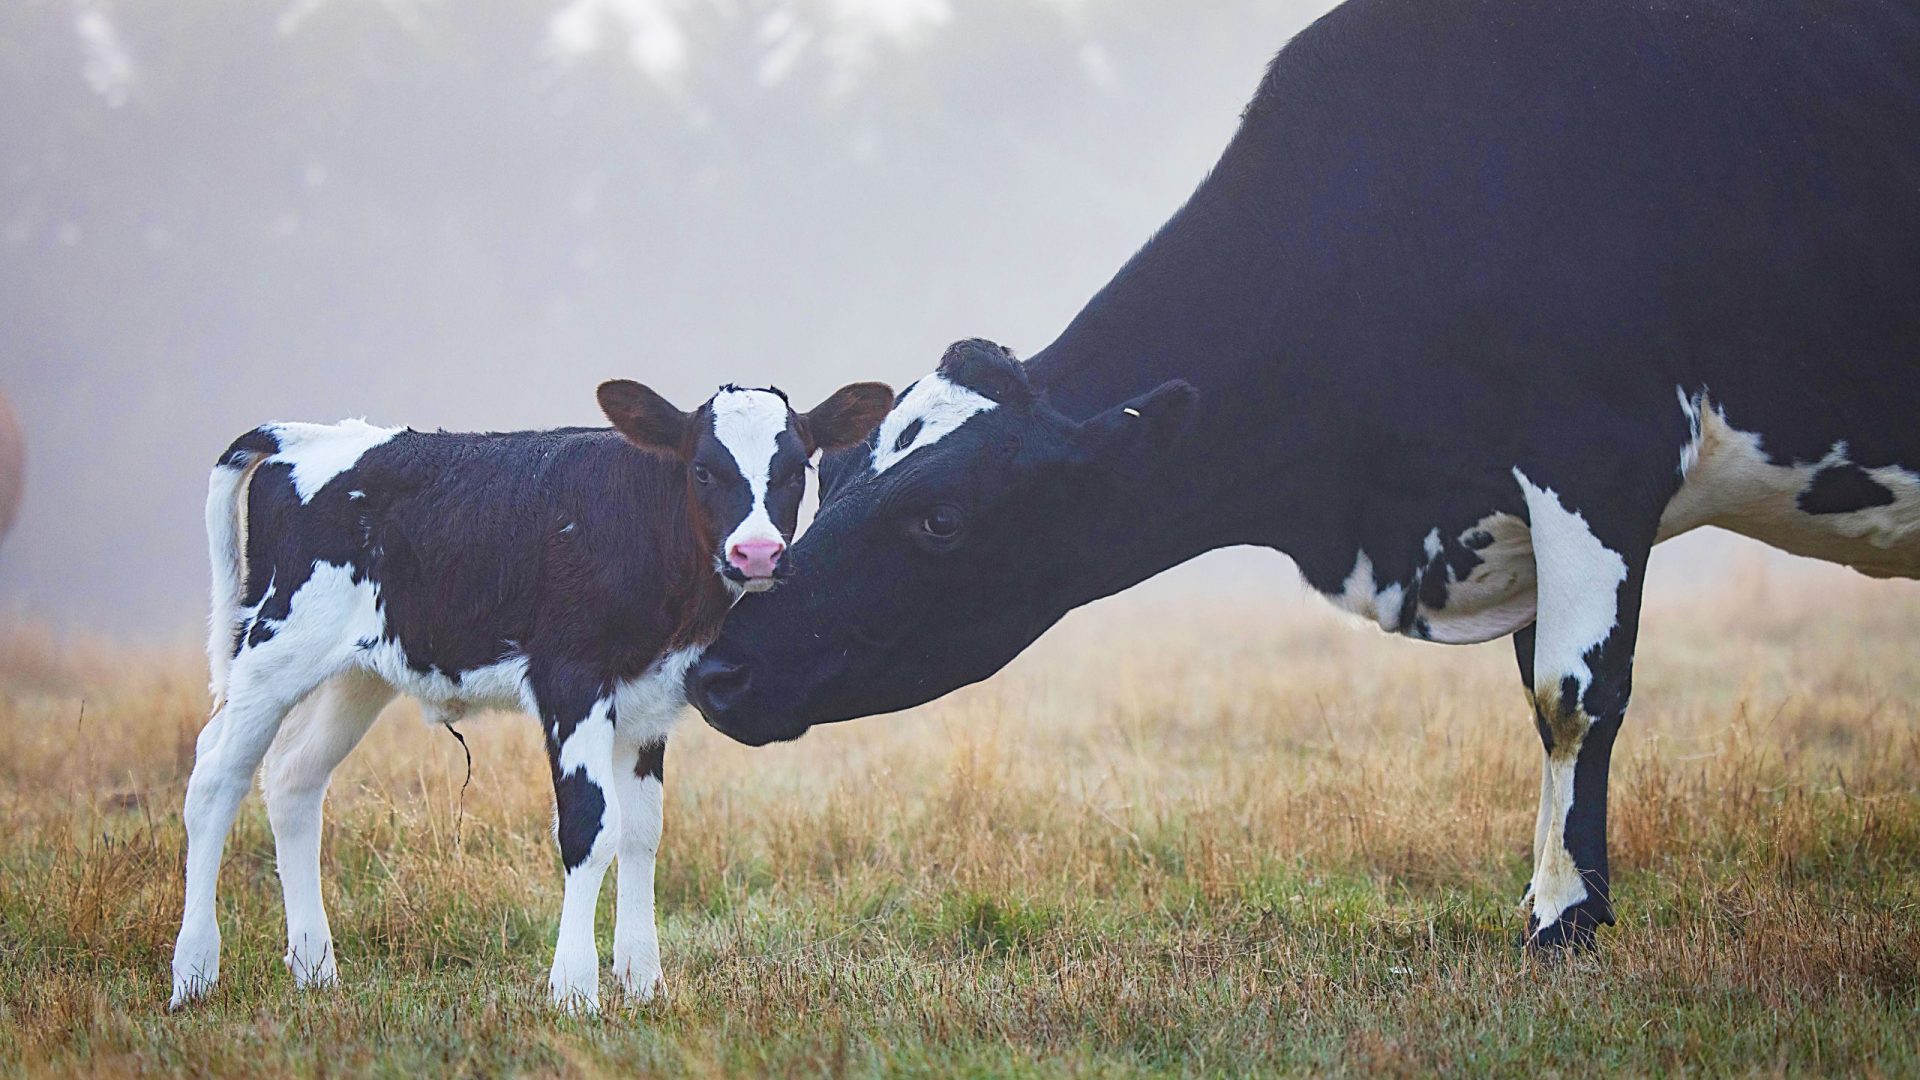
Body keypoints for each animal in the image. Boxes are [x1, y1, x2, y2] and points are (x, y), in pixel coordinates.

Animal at [167, 374, 890, 1006]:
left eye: (796, 470)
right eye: (704, 469)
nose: (757, 553)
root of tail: (305, 435)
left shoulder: (649, 700)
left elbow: (642, 832)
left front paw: (643, 982)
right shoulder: (570, 681)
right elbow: (590, 827)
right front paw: (574, 991)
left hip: (356, 674)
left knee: (293, 779)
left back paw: (315, 970)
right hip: (272, 648)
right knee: (215, 780)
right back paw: (195, 974)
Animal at [691, 0, 1920, 949]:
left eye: (941, 519)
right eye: (832, 471)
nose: (718, 673)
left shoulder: (1598, 449)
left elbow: (1573, 697)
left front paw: (1566, 919)